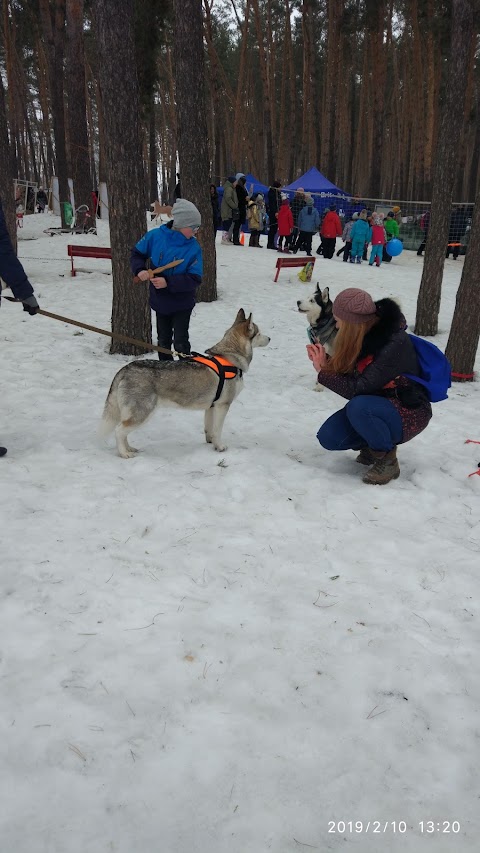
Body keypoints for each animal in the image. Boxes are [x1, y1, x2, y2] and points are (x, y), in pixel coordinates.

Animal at [100, 308, 270, 456]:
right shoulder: (223, 406)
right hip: (142, 412)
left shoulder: (211, 406)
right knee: (119, 430)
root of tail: (125, 369)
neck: (230, 357)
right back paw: (124, 453)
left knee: (123, 431)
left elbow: (209, 429)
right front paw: (220, 447)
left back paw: (129, 448)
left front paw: (211, 443)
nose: (270, 338)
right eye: (259, 333)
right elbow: (218, 430)